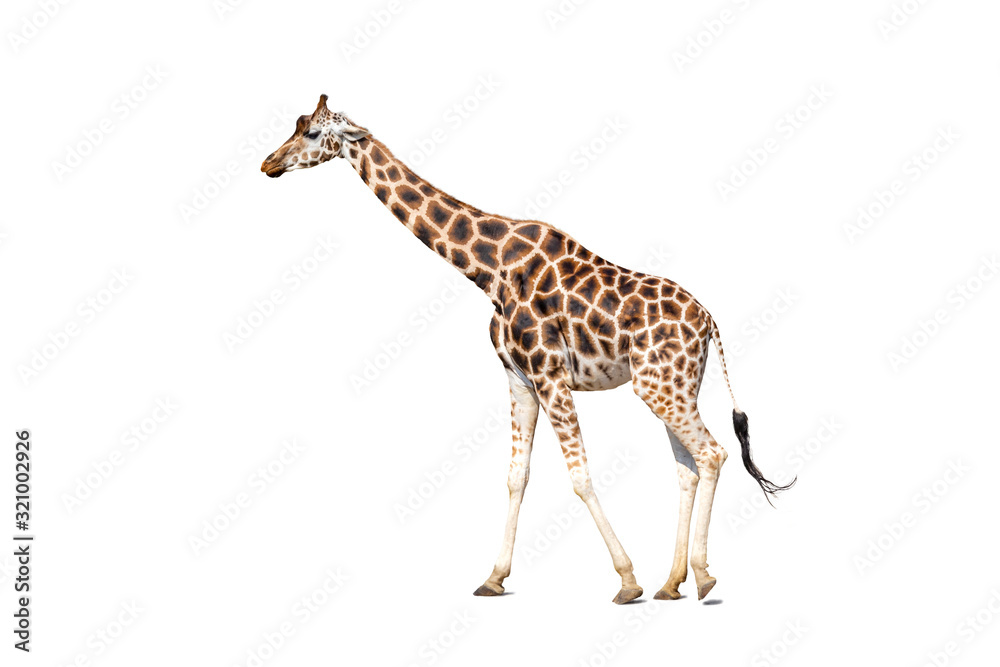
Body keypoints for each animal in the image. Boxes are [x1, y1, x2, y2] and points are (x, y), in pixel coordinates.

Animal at [261, 95, 794, 604]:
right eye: (294, 126)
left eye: (312, 133)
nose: (268, 164)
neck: (487, 269)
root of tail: (710, 323)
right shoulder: (518, 377)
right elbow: (517, 474)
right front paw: (494, 578)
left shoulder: (549, 372)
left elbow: (579, 475)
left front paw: (626, 581)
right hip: (673, 385)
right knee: (688, 467)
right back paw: (672, 582)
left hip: (660, 386)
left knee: (712, 454)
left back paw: (702, 577)